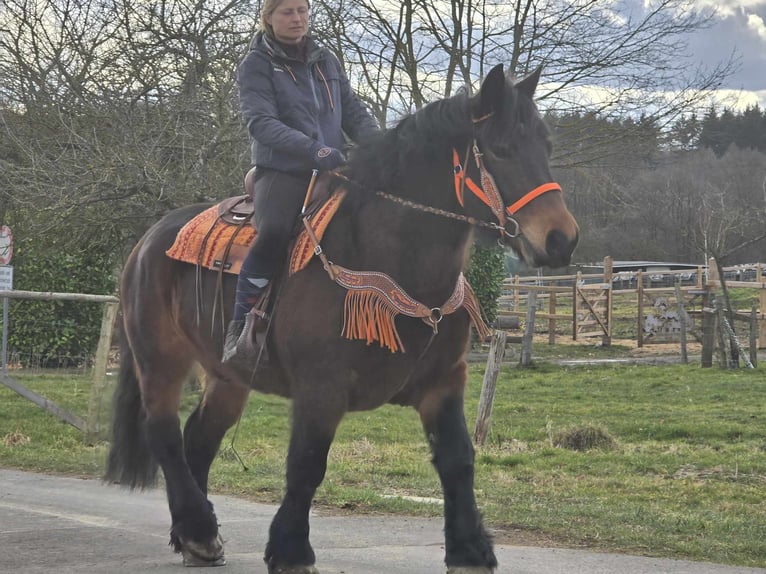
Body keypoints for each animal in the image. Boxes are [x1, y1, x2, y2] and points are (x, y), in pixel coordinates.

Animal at [105, 64, 580, 574]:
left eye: (546, 147)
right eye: (501, 148)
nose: (562, 239)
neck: (390, 257)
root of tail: (149, 239)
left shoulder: (443, 383)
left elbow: (457, 459)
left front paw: (470, 549)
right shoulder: (321, 389)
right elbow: (307, 464)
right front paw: (291, 550)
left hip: (228, 377)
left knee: (199, 438)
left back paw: (197, 536)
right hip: (160, 361)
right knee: (165, 436)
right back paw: (196, 527)